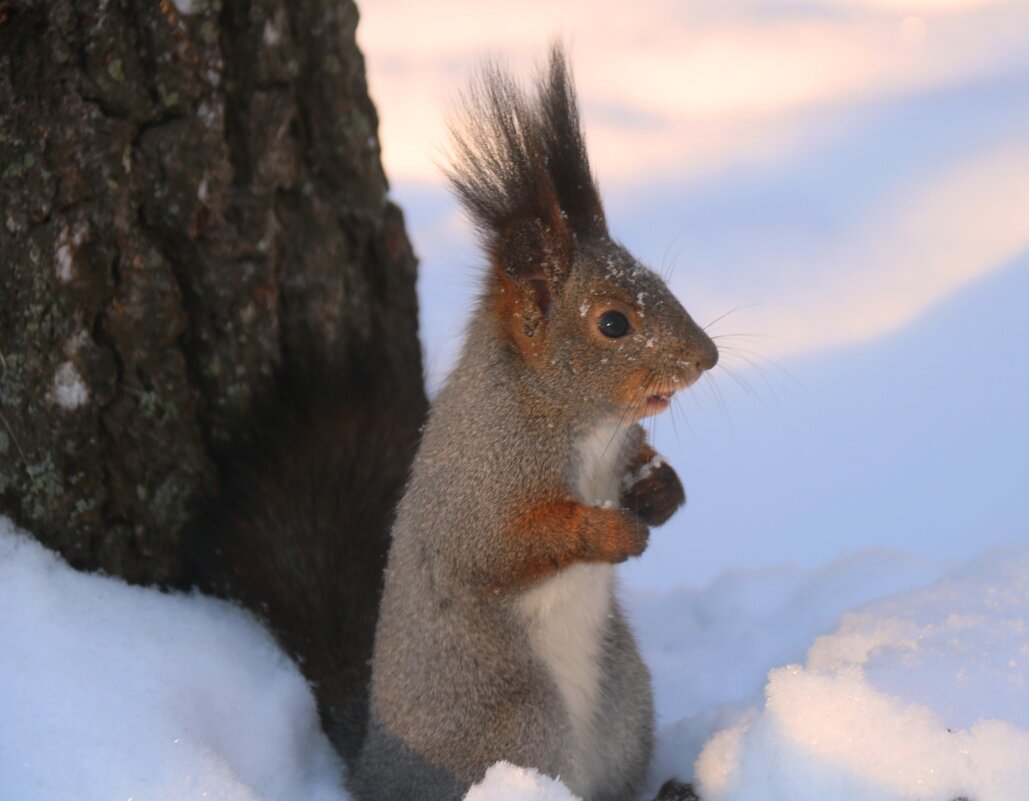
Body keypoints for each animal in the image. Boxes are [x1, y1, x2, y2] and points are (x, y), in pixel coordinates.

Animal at [196, 42, 720, 798]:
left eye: (660, 280)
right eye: (613, 323)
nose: (706, 357)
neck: (577, 422)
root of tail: (369, 767)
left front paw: (659, 492)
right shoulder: (480, 484)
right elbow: (503, 546)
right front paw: (609, 530)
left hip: (625, 706)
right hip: (516, 722)